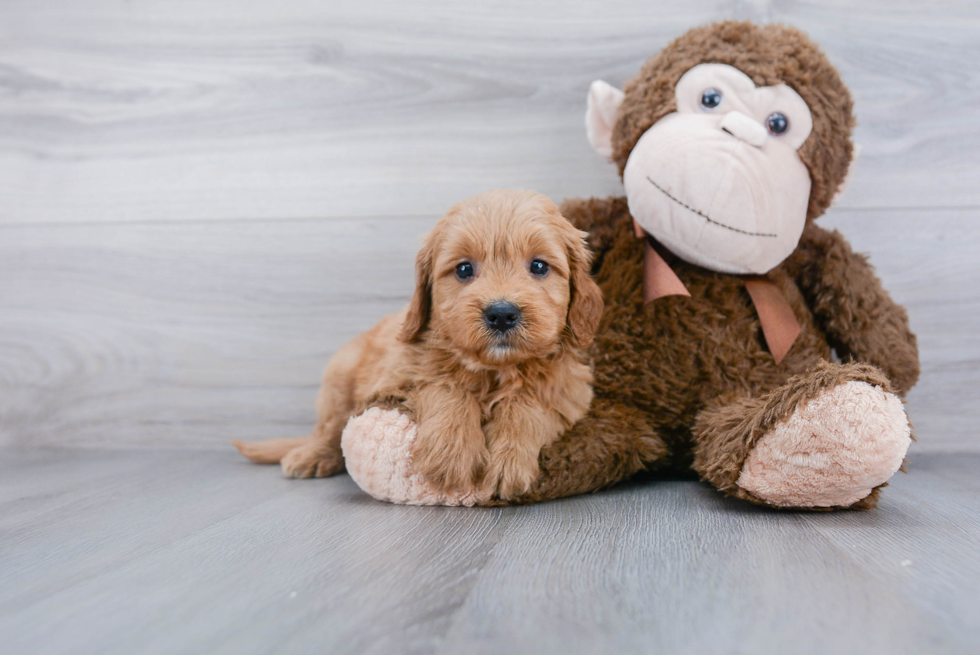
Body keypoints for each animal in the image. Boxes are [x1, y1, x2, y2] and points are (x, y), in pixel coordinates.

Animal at [237, 191, 604, 502]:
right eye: (464, 269)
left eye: (539, 266)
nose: (501, 314)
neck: (493, 369)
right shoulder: (397, 376)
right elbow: (445, 387)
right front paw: (452, 452)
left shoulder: (568, 389)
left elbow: (528, 405)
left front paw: (509, 459)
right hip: (339, 379)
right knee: (328, 428)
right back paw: (311, 455)